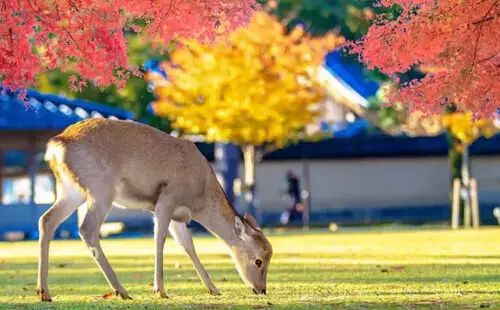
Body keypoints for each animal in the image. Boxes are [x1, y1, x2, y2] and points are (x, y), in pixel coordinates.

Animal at [37, 117, 274, 302]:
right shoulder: (167, 198)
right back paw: (122, 290)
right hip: (100, 189)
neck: (199, 198)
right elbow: (159, 238)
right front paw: (159, 290)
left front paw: (214, 289)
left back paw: (44, 292)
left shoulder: (180, 217)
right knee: (87, 229)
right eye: (258, 260)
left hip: (70, 190)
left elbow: (188, 246)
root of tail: (56, 145)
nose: (261, 290)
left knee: (46, 220)